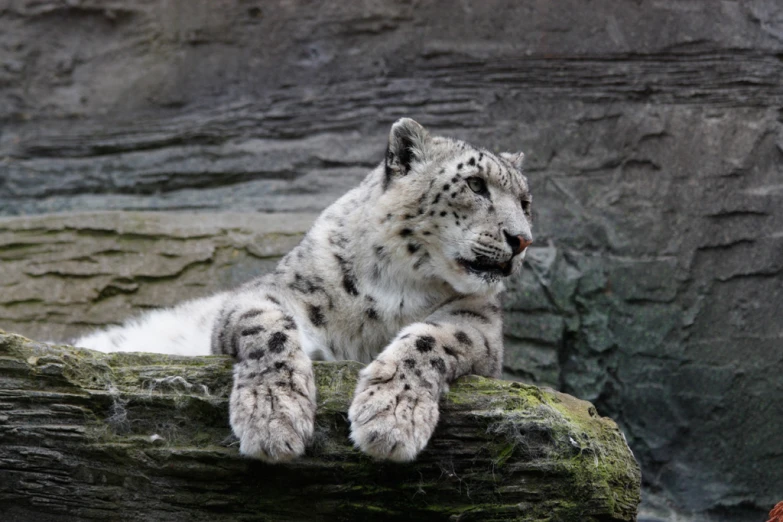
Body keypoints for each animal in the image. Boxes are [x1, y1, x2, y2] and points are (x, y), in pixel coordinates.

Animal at [76, 117, 536, 460]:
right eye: (475, 184)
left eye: (525, 202)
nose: (522, 239)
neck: (399, 286)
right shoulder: (270, 292)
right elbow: (268, 327)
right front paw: (273, 417)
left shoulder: (480, 323)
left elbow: (431, 338)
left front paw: (389, 416)